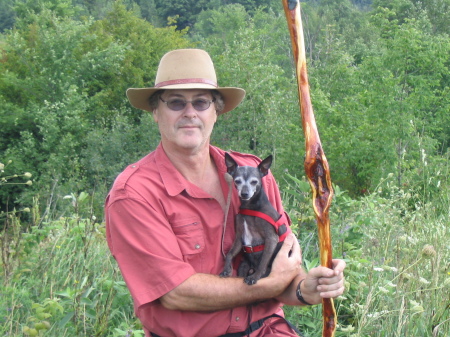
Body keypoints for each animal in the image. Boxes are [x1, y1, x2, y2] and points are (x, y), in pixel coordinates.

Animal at [220, 153, 290, 284]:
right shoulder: (239, 237)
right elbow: (230, 254)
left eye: (254, 182)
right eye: (237, 181)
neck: (251, 208)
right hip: (243, 267)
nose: (244, 194)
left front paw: (255, 277)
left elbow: (263, 263)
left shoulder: (271, 238)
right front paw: (226, 269)